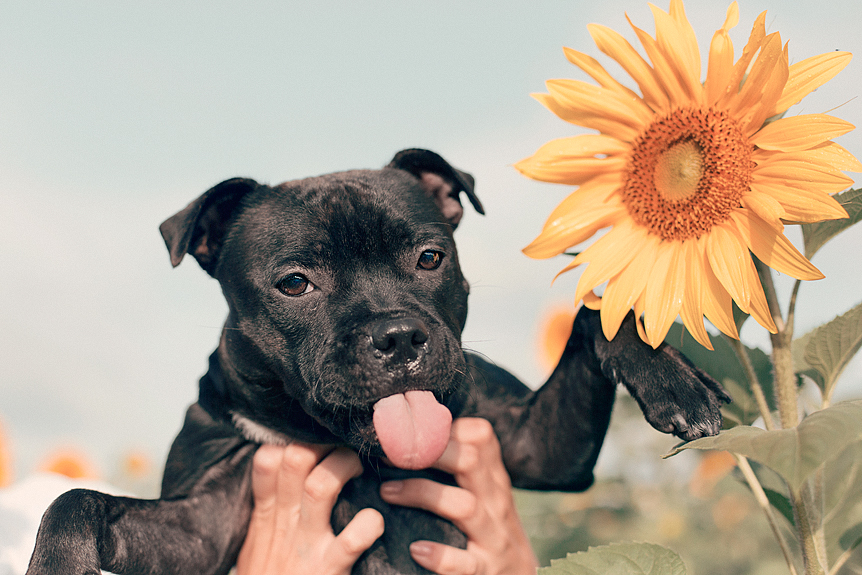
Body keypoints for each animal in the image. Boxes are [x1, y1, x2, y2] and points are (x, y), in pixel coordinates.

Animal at [27, 150, 728, 575]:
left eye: (430, 257)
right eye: (295, 283)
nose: (398, 337)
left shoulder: (537, 447)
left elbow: (596, 312)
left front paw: (677, 382)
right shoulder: (201, 524)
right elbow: (74, 499)